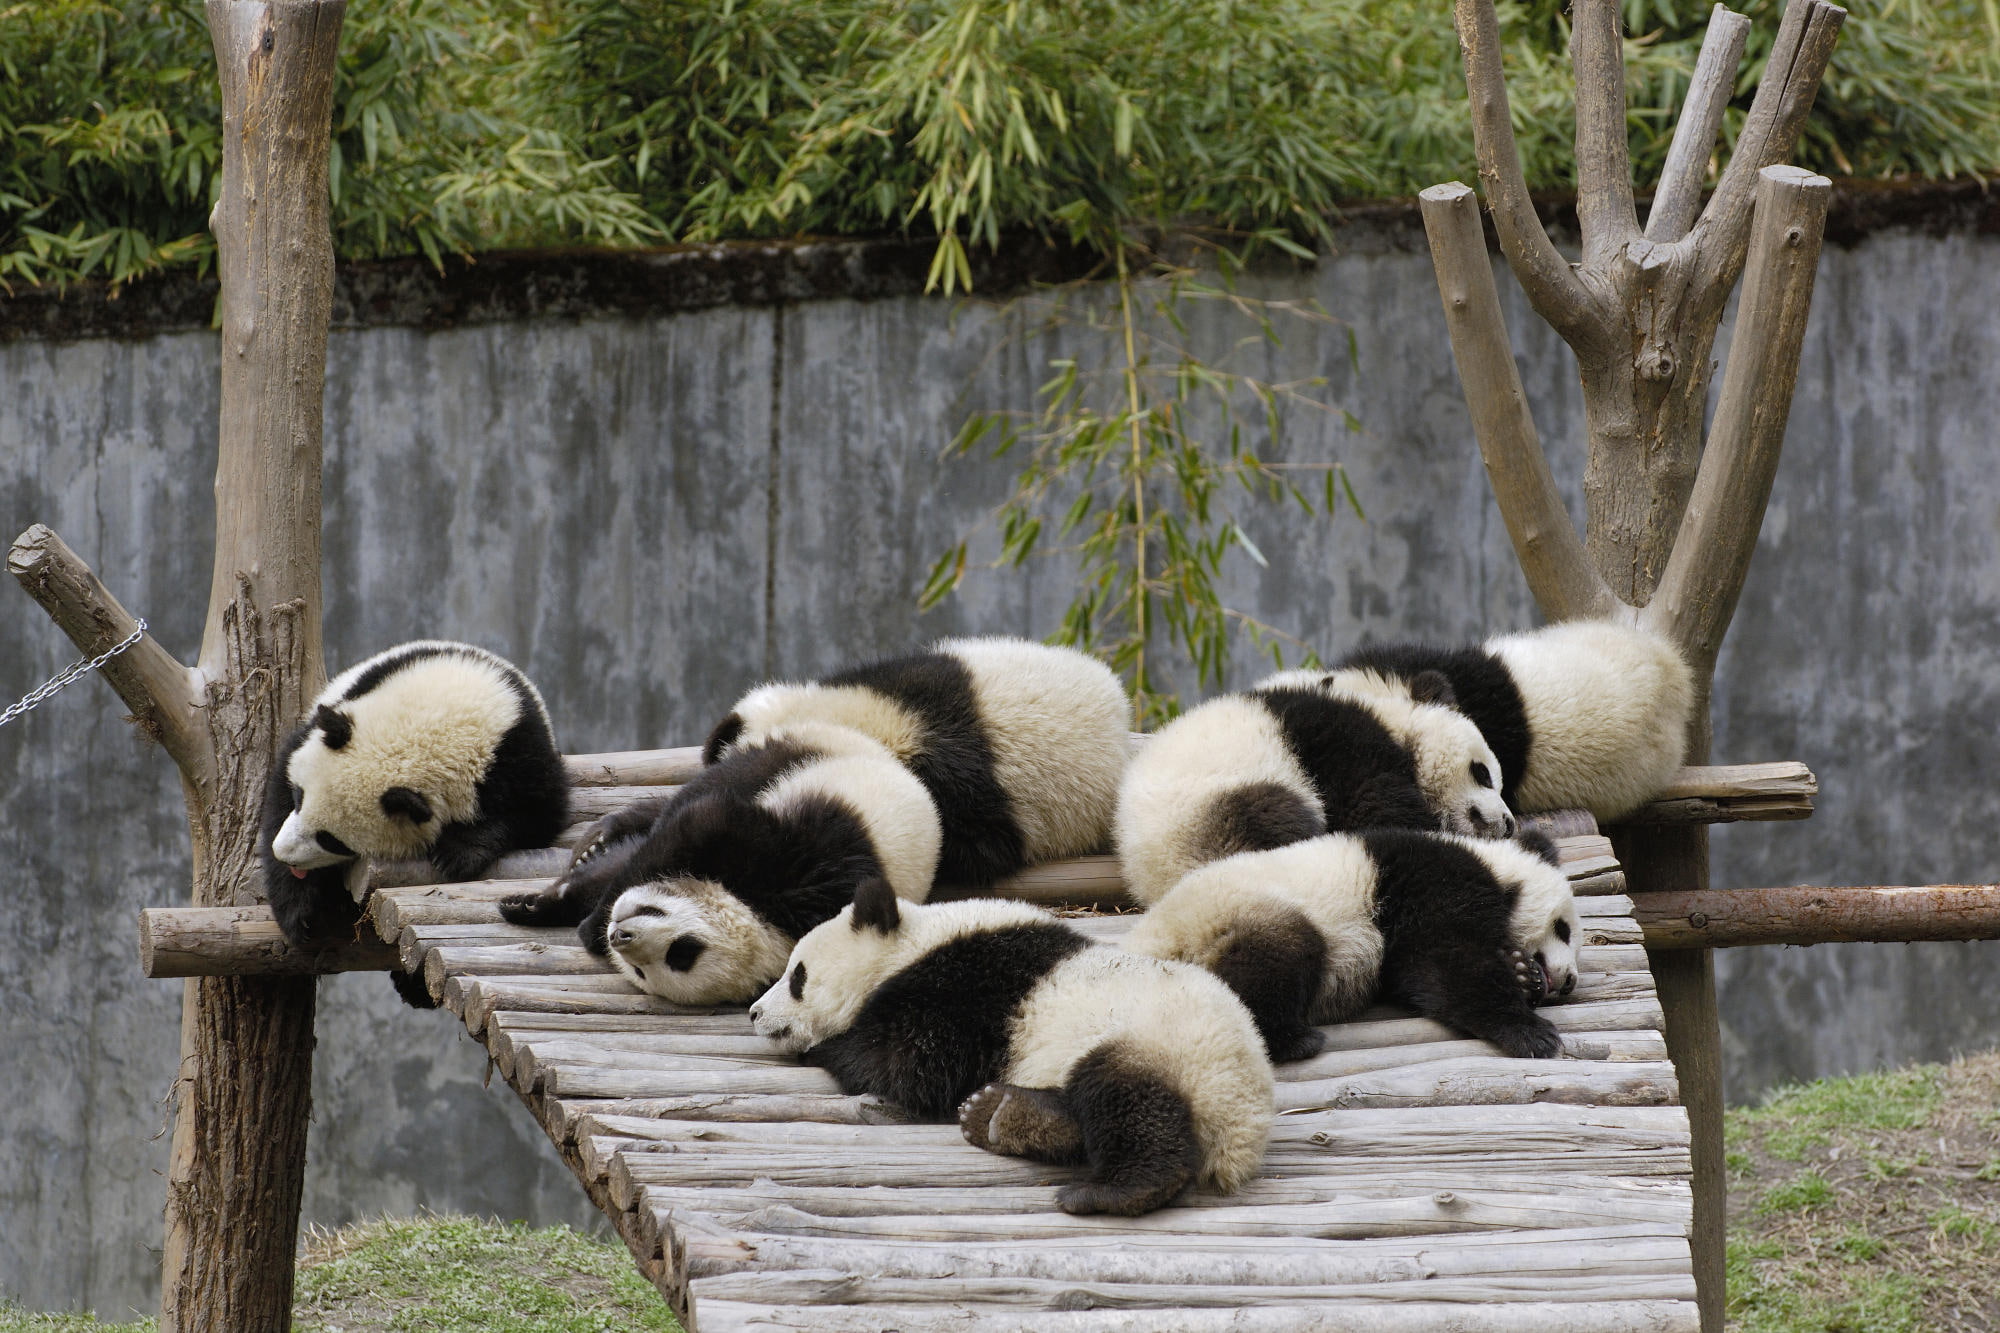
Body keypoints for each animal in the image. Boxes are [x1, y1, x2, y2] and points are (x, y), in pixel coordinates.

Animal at [261, 640, 569, 948]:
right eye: (299, 798)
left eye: (332, 840)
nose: (283, 853)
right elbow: (279, 791)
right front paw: (301, 913)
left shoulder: (516, 751)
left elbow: (537, 815)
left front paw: (457, 854)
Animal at [500, 721, 942, 1006]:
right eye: (685, 948)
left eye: (674, 959)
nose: (619, 937)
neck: (768, 917)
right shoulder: (798, 860)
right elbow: (697, 824)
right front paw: (569, 910)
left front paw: (576, 917)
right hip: (800, 757)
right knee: (704, 790)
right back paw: (603, 837)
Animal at [749, 882, 1273, 1216]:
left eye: (797, 976)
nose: (754, 1013)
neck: (912, 944)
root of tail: (1243, 1125)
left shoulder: (966, 990)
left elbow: (910, 1064)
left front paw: (828, 1046)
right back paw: (1002, 1115)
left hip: (1161, 1044)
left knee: (1127, 1098)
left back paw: (1110, 1191)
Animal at [1115, 668, 1516, 906]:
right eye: (1483, 774)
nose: (1509, 823)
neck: (1389, 715)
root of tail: (1151, 879)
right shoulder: (1341, 743)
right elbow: (1375, 806)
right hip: (1211, 807)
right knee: (1275, 819)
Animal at [1127, 828, 1580, 1063]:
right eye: (1563, 929)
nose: (1570, 981)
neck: (1495, 867)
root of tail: (1147, 947)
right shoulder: (1431, 883)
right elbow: (1445, 963)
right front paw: (1531, 1033)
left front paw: (1522, 974)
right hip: (1231, 917)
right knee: (1277, 959)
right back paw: (1292, 1040)